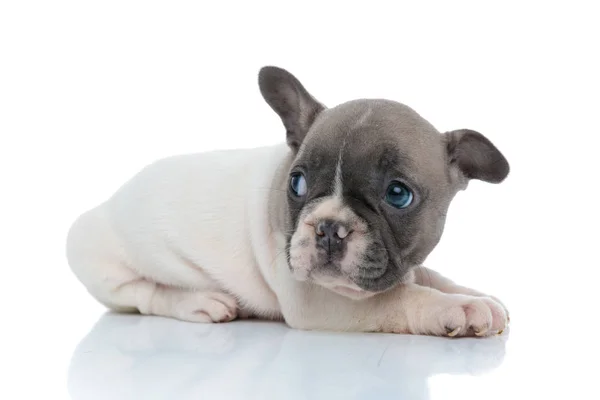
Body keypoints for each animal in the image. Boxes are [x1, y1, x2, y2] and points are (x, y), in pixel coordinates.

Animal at [69, 65, 510, 338]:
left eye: (398, 195)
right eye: (296, 183)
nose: (329, 228)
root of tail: (111, 199)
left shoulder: (404, 264)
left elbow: (432, 277)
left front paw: (475, 294)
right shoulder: (318, 300)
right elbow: (405, 296)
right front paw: (461, 308)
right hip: (96, 256)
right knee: (144, 296)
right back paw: (200, 303)